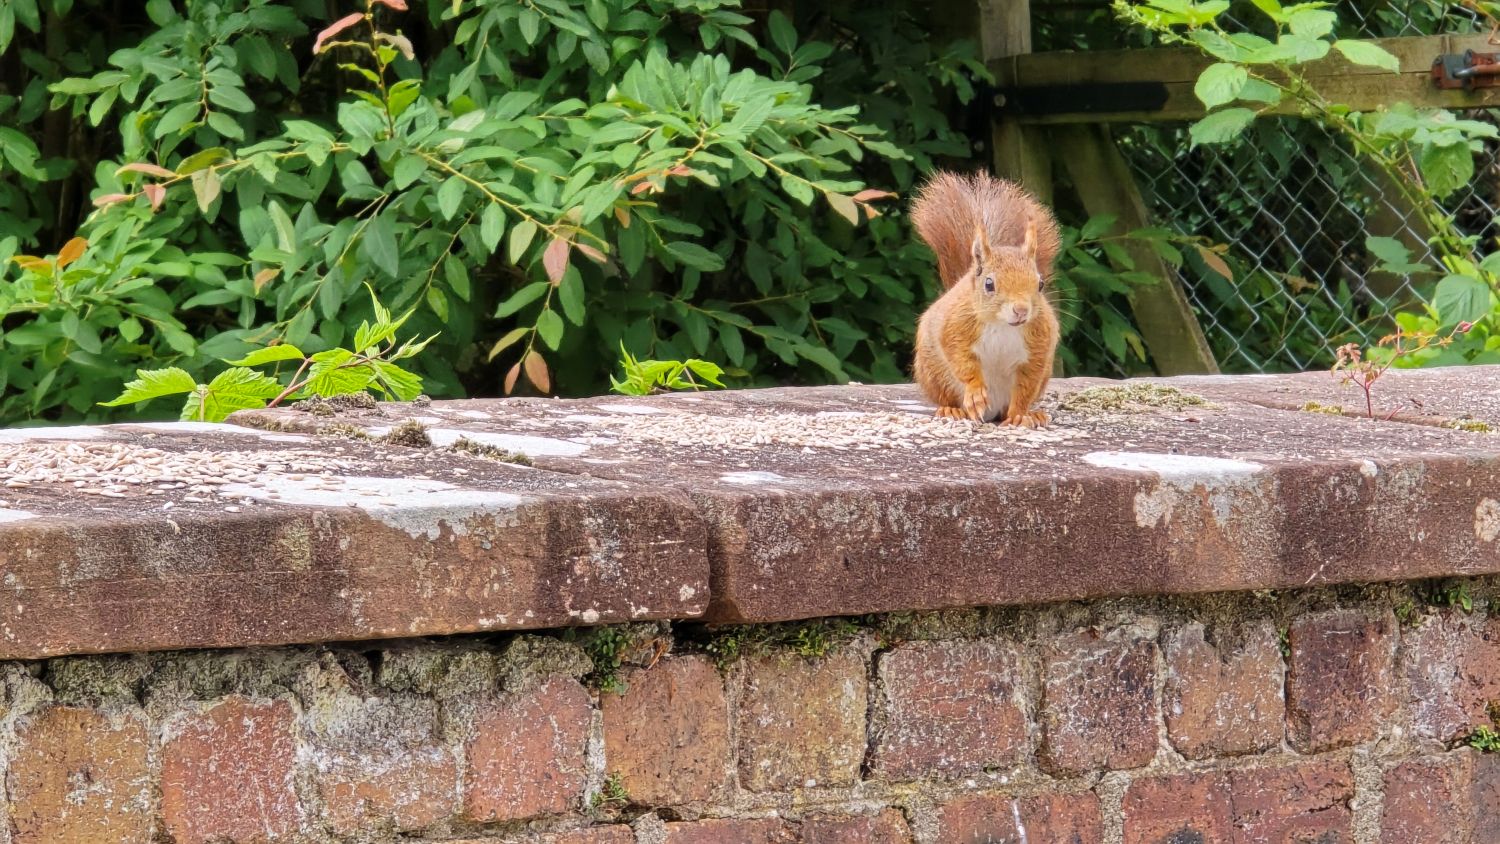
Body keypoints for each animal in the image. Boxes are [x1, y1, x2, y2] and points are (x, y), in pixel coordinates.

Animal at [910, 170, 1062, 428]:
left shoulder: (1039, 346)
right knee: (947, 395)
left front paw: (1020, 415)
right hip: (933, 372)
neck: (1003, 325)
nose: (1021, 310)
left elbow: (1025, 386)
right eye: (989, 284)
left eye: (1040, 284)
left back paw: (1033, 414)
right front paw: (975, 392)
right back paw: (952, 410)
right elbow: (962, 361)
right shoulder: (956, 328)